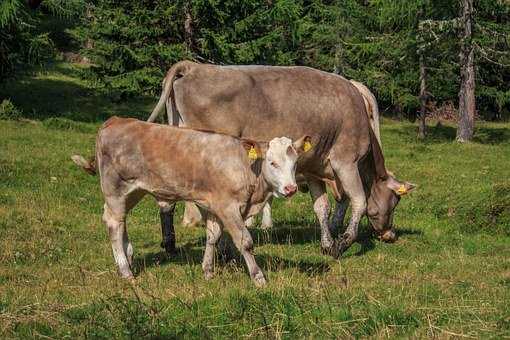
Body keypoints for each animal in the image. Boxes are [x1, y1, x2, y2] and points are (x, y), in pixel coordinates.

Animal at [72, 115, 310, 286]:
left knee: (120, 221)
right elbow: (245, 241)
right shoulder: (228, 207)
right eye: (272, 163)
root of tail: (115, 120)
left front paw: (208, 271)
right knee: (114, 223)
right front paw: (258, 277)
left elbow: (213, 237)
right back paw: (125, 271)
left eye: (295, 163)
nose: (291, 188)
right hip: (115, 188)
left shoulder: (213, 204)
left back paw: (129, 258)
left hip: (133, 191)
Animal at [146, 61, 414, 258]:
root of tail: (193, 66)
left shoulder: (313, 168)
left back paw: (170, 244)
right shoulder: (345, 162)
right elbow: (358, 201)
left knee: (166, 200)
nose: (390, 235)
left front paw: (327, 244)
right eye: (394, 201)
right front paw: (342, 244)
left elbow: (322, 208)